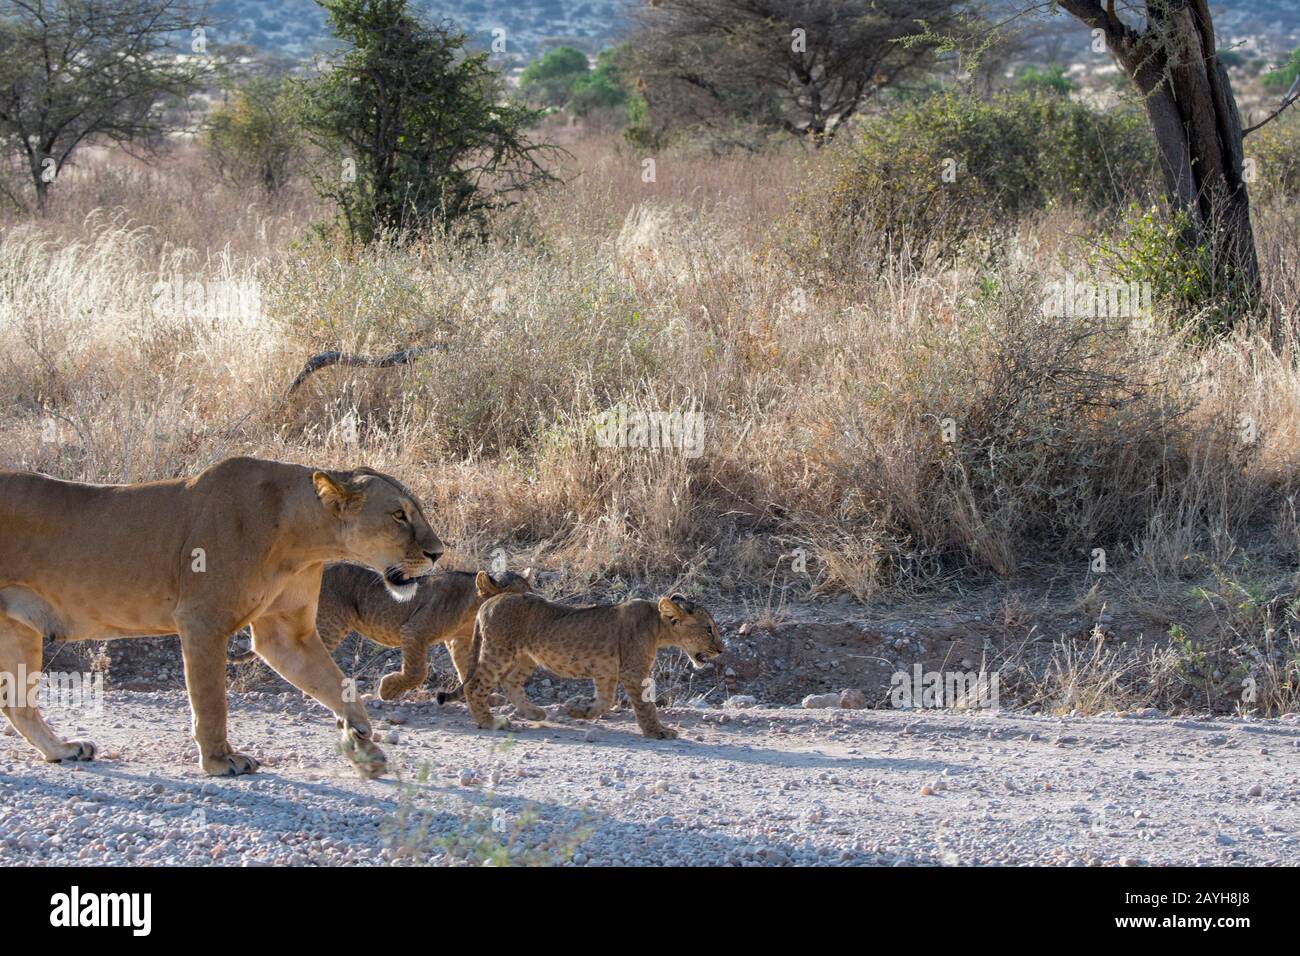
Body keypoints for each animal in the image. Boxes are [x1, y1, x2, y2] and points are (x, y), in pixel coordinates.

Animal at [0, 455, 444, 777]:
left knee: (17, 704)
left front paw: (361, 739)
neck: (302, 540)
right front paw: (220, 761)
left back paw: (61, 750)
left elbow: (337, 684)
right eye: (399, 515)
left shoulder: (285, 635)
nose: (438, 552)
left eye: (416, 511)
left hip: (18, 628)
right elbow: (212, 701)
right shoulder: (203, 620)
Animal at [229, 565, 531, 701]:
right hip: (331, 622)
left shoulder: (459, 640)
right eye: (520, 597)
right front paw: (387, 690)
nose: (537, 606)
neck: (470, 603)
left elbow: (465, 666)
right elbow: (416, 671)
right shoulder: (413, 631)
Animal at [437, 592, 724, 739]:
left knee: (510, 681)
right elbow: (646, 707)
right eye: (708, 629)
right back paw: (491, 722)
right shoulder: (633, 671)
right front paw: (658, 732)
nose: (721, 650)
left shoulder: (606, 672)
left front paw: (575, 710)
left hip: (526, 656)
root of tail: (487, 602)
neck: (658, 625)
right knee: (475, 686)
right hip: (499, 650)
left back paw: (534, 713)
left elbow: (605, 702)